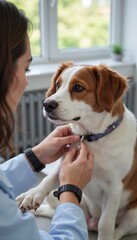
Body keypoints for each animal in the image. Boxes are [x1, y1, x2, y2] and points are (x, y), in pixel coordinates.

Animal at [16, 62, 137, 240]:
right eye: (58, 84)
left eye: (78, 87)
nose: (47, 104)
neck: (92, 138)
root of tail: (90, 221)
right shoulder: (65, 163)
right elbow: (47, 180)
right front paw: (32, 194)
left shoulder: (114, 187)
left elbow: (105, 224)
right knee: (56, 210)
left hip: (133, 214)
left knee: (120, 229)